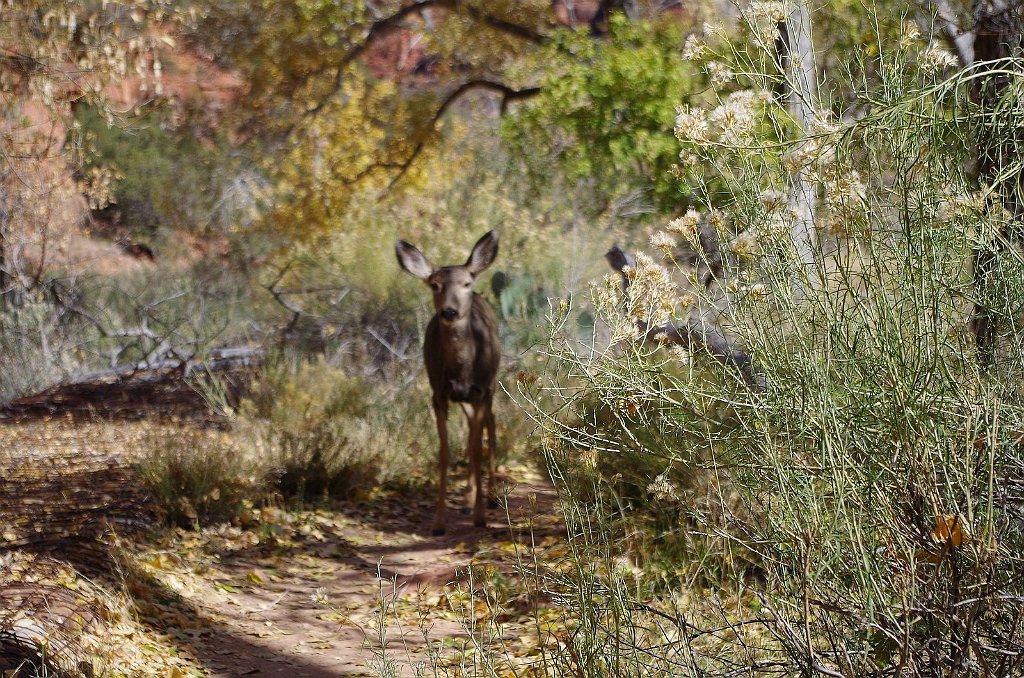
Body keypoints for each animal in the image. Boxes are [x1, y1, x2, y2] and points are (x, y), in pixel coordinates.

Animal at [395, 231, 499, 532]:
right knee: (473, 429)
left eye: (466, 283)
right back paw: (466, 501)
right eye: (434, 285)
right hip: (463, 398)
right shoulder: (439, 394)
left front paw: (480, 518)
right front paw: (439, 522)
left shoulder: (481, 390)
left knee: (490, 426)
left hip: (491, 386)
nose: (450, 312)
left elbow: (475, 450)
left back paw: (491, 498)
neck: (461, 369)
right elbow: (445, 453)